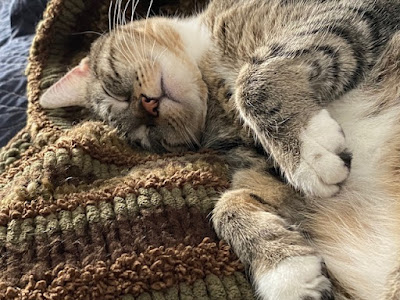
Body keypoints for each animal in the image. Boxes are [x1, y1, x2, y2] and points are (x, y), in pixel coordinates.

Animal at [39, 1, 400, 298]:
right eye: (147, 137)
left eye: (113, 91)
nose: (149, 108)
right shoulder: (263, 166)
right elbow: (229, 204)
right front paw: (285, 271)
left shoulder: (344, 9)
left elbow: (253, 77)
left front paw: (309, 149)